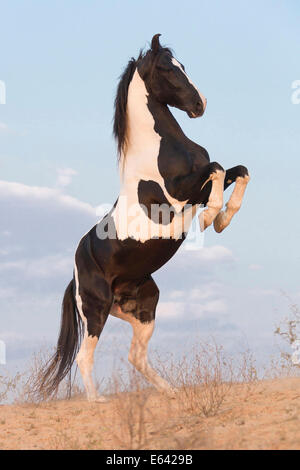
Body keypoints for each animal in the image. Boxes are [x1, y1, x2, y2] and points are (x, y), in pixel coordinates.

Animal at [40, 35, 251, 402]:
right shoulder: (178, 197)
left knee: (136, 356)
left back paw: (172, 392)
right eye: (167, 68)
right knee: (84, 355)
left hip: (144, 307)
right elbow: (217, 167)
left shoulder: (197, 189)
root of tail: (75, 275)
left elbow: (238, 170)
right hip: (95, 310)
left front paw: (222, 218)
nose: (200, 104)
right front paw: (211, 218)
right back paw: (97, 400)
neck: (160, 148)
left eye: (183, 65)